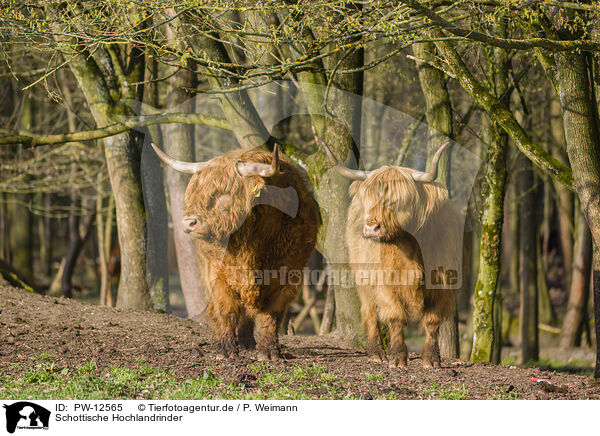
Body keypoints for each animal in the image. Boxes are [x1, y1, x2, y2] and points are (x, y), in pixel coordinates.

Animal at [151, 144, 318, 362]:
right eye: (195, 191)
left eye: (222, 193)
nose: (189, 222)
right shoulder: (217, 274)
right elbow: (226, 308)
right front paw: (226, 349)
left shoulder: (289, 274)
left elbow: (274, 313)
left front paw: (269, 351)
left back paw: (248, 343)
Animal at [318, 137, 460, 368]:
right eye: (370, 198)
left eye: (398, 201)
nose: (370, 227)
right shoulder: (385, 282)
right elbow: (395, 316)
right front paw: (397, 358)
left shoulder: (443, 283)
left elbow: (432, 321)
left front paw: (431, 360)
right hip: (363, 276)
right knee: (369, 311)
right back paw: (376, 353)